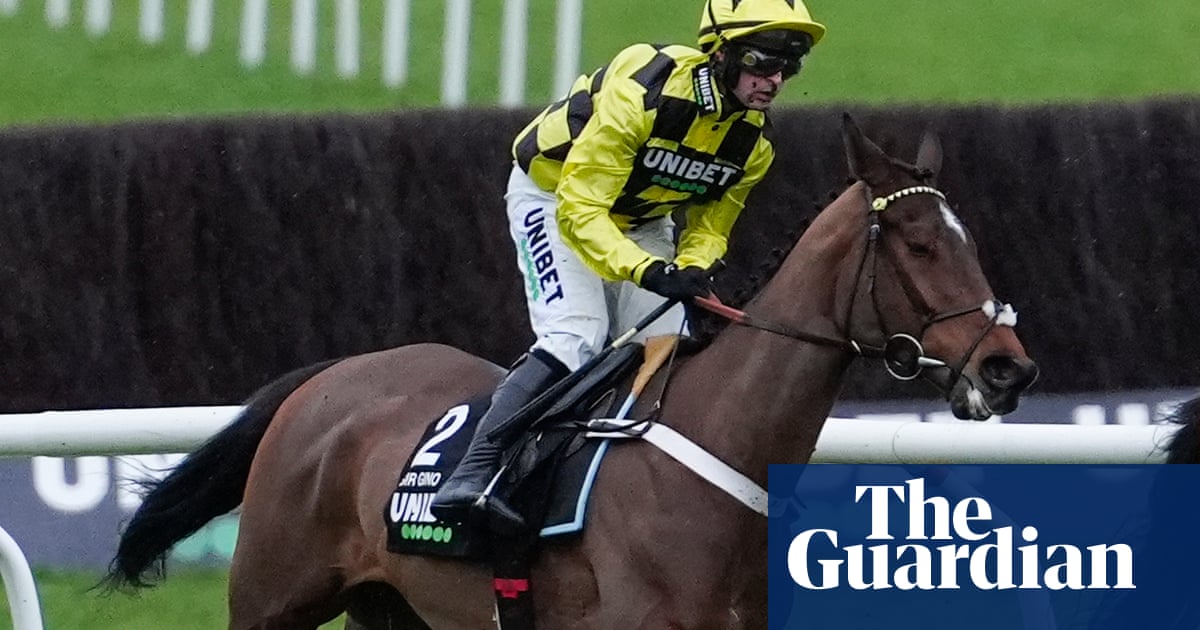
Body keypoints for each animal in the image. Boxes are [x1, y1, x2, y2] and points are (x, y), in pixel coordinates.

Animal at [105, 114, 1039, 629]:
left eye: (968, 242)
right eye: (918, 246)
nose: (1008, 370)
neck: (717, 449)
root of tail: (325, 383)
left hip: (396, 607)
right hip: (270, 599)